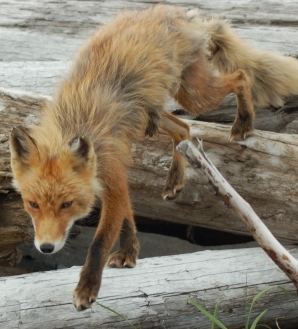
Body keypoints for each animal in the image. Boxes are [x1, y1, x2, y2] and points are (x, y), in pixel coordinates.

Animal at [9, 3, 298, 308]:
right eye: (32, 204)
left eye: (67, 205)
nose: (46, 247)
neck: (76, 123)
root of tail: (178, 13)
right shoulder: (117, 180)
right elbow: (128, 219)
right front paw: (130, 253)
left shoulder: (113, 177)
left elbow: (100, 241)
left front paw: (87, 288)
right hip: (155, 112)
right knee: (184, 128)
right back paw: (175, 179)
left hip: (194, 97)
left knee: (241, 76)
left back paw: (244, 121)